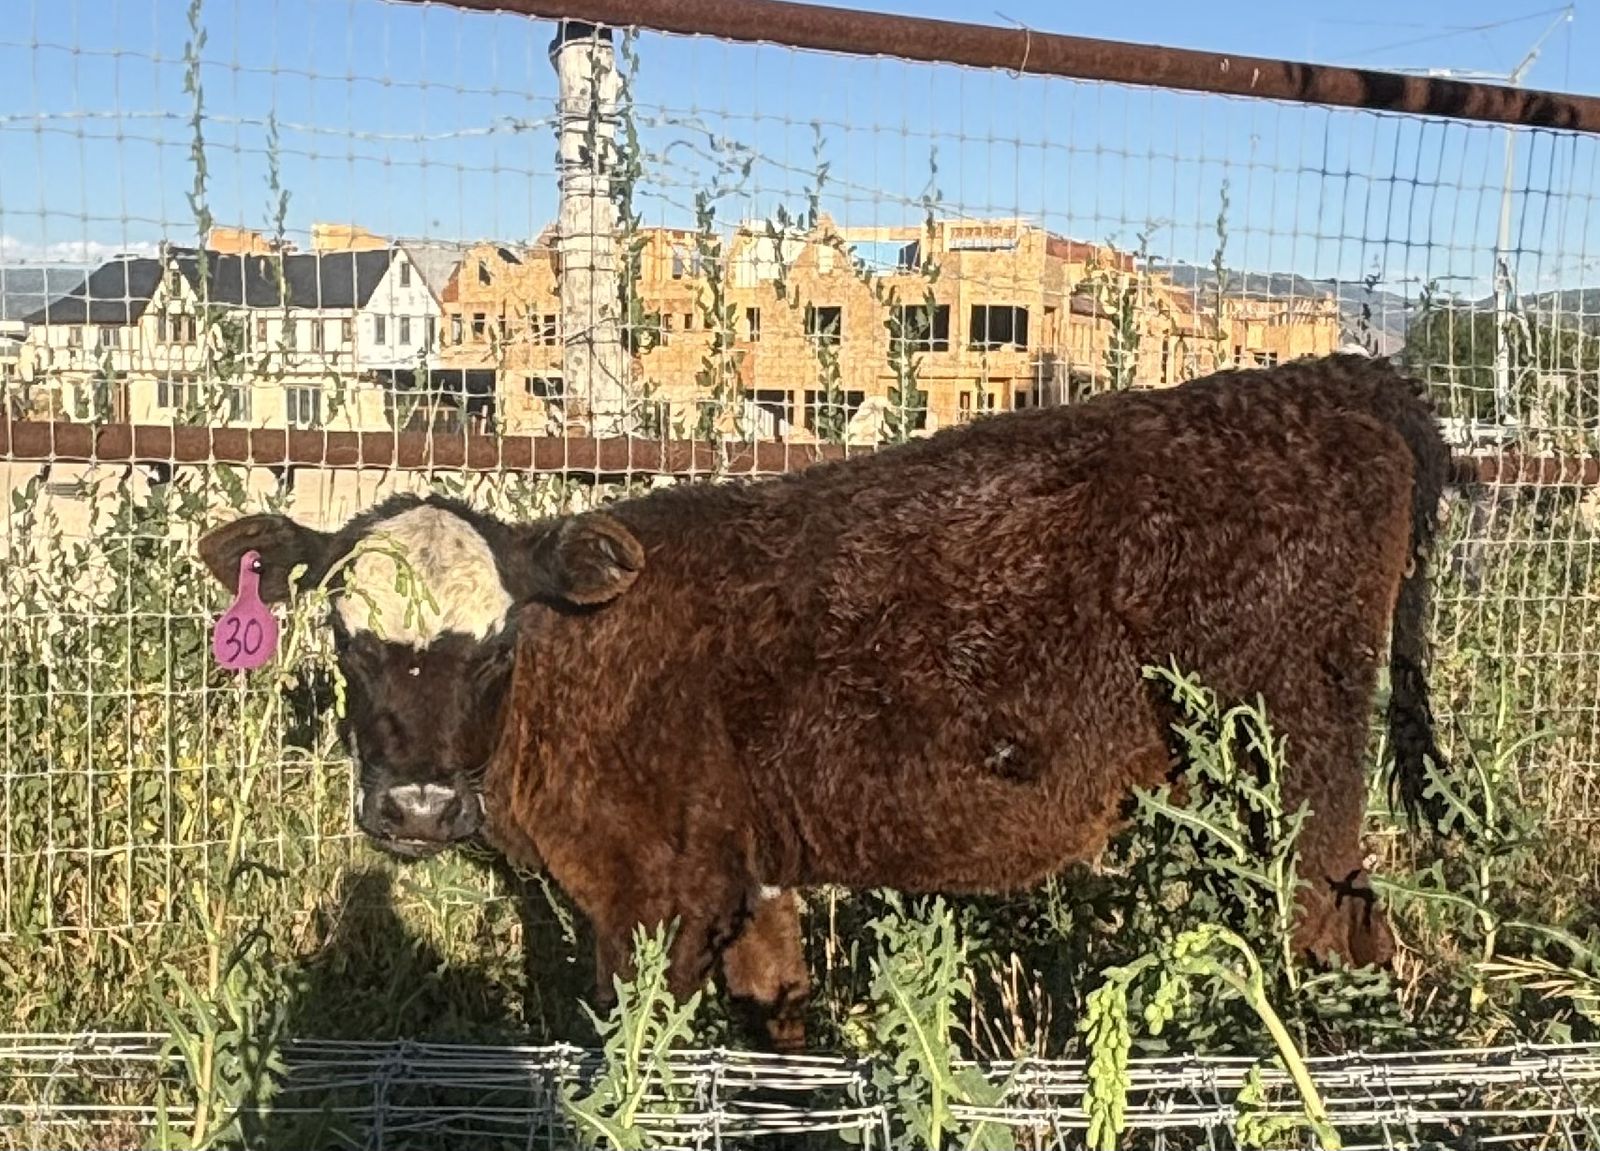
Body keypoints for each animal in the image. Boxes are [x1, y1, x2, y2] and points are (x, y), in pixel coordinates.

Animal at [196, 353, 1451, 1052]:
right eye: (345, 634)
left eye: (498, 639)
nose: (413, 806)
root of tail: (1328, 379)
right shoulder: (749, 875)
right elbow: (777, 1027)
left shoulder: (649, 895)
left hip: (1293, 769)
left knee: (1348, 940)